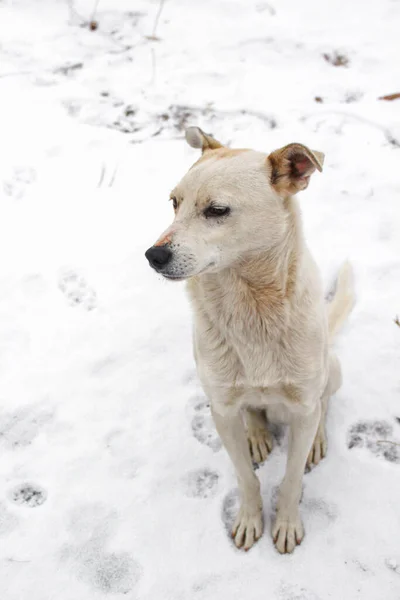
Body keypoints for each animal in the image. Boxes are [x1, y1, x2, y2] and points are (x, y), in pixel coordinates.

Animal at [146, 129, 354, 556]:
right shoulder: (222, 410)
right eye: (174, 203)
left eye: (217, 210)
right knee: (254, 411)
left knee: (323, 404)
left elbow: (291, 479)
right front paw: (249, 519)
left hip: (332, 370)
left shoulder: (303, 405)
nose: (152, 255)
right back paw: (257, 434)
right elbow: (246, 477)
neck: (249, 306)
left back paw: (317, 439)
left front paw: (287, 523)